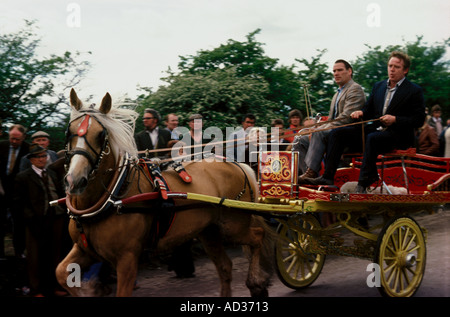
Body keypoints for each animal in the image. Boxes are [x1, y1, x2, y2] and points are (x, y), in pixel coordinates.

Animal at [56, 87, 274, 296]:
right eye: (68, 132)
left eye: (101, 135)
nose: (74, 180)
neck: (113, 195)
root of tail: (236, 164)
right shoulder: (85, 250)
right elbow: (60, 272)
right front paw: (90, 289)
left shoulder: (127, 258)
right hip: (209, 231)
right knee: (225, 267)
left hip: (233, 226)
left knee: (258, 236)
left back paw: (257, 282)